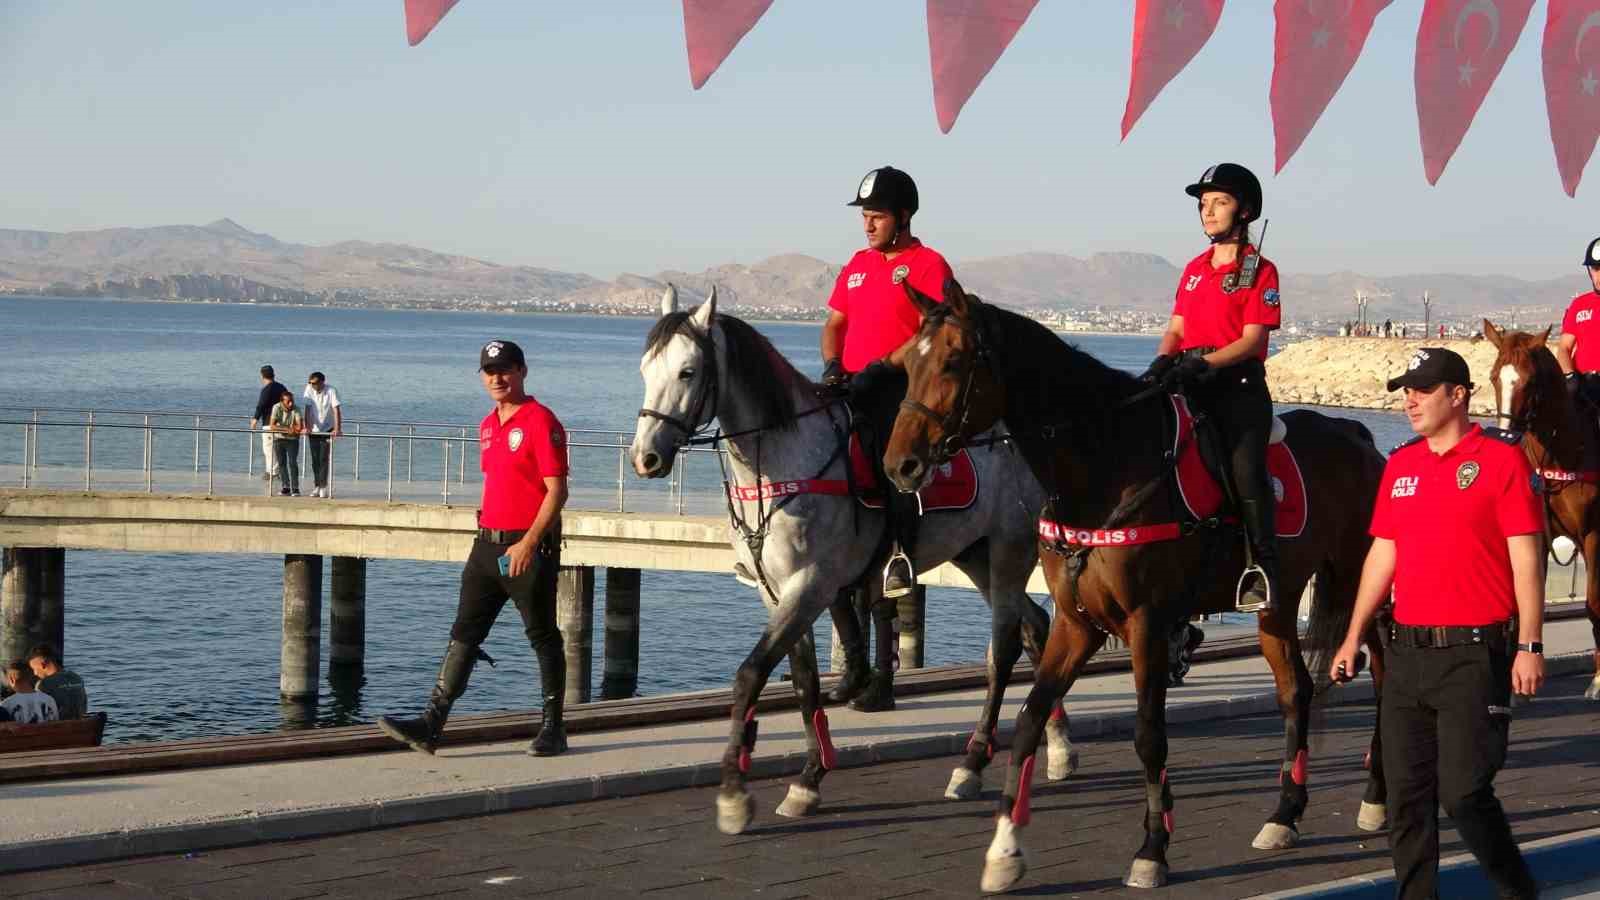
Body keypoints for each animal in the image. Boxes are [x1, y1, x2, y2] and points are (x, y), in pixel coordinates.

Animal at [630, 283, 1068, 832]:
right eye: (646, 370)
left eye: (688, 371)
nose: (645, 458)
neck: (782, 460)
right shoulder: (776, 591)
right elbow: (804, 681)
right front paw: (809, 779)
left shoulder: (810, 584)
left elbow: (750, 675)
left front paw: (733, 792)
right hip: (977, 555)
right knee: (1035, 627)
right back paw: (1057, 746)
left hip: (1009, 550)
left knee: (1005, 647)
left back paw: (972, 762)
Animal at [883, 281, 1395, 890]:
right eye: (905, 364)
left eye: (954, 361)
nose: (899, 464)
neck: (1107, 462)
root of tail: (1359, 437)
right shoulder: (1076, 623)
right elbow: (1029, 718)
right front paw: (1005, 849)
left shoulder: (1147, 623)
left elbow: (1149, 734)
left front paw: (1153, 848)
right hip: (1278, 602)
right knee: (1296, 691)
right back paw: (1284, 814)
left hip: (1362, 587)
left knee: (1386, 679)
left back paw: (1376, 798)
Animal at [1478, 318, 1600, 698]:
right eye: (1494, 376)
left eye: (1530, 382)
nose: (1505, 435)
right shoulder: (1535, 533)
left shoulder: (1594, 534)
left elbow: (1594, 604)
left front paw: (1597, 679)